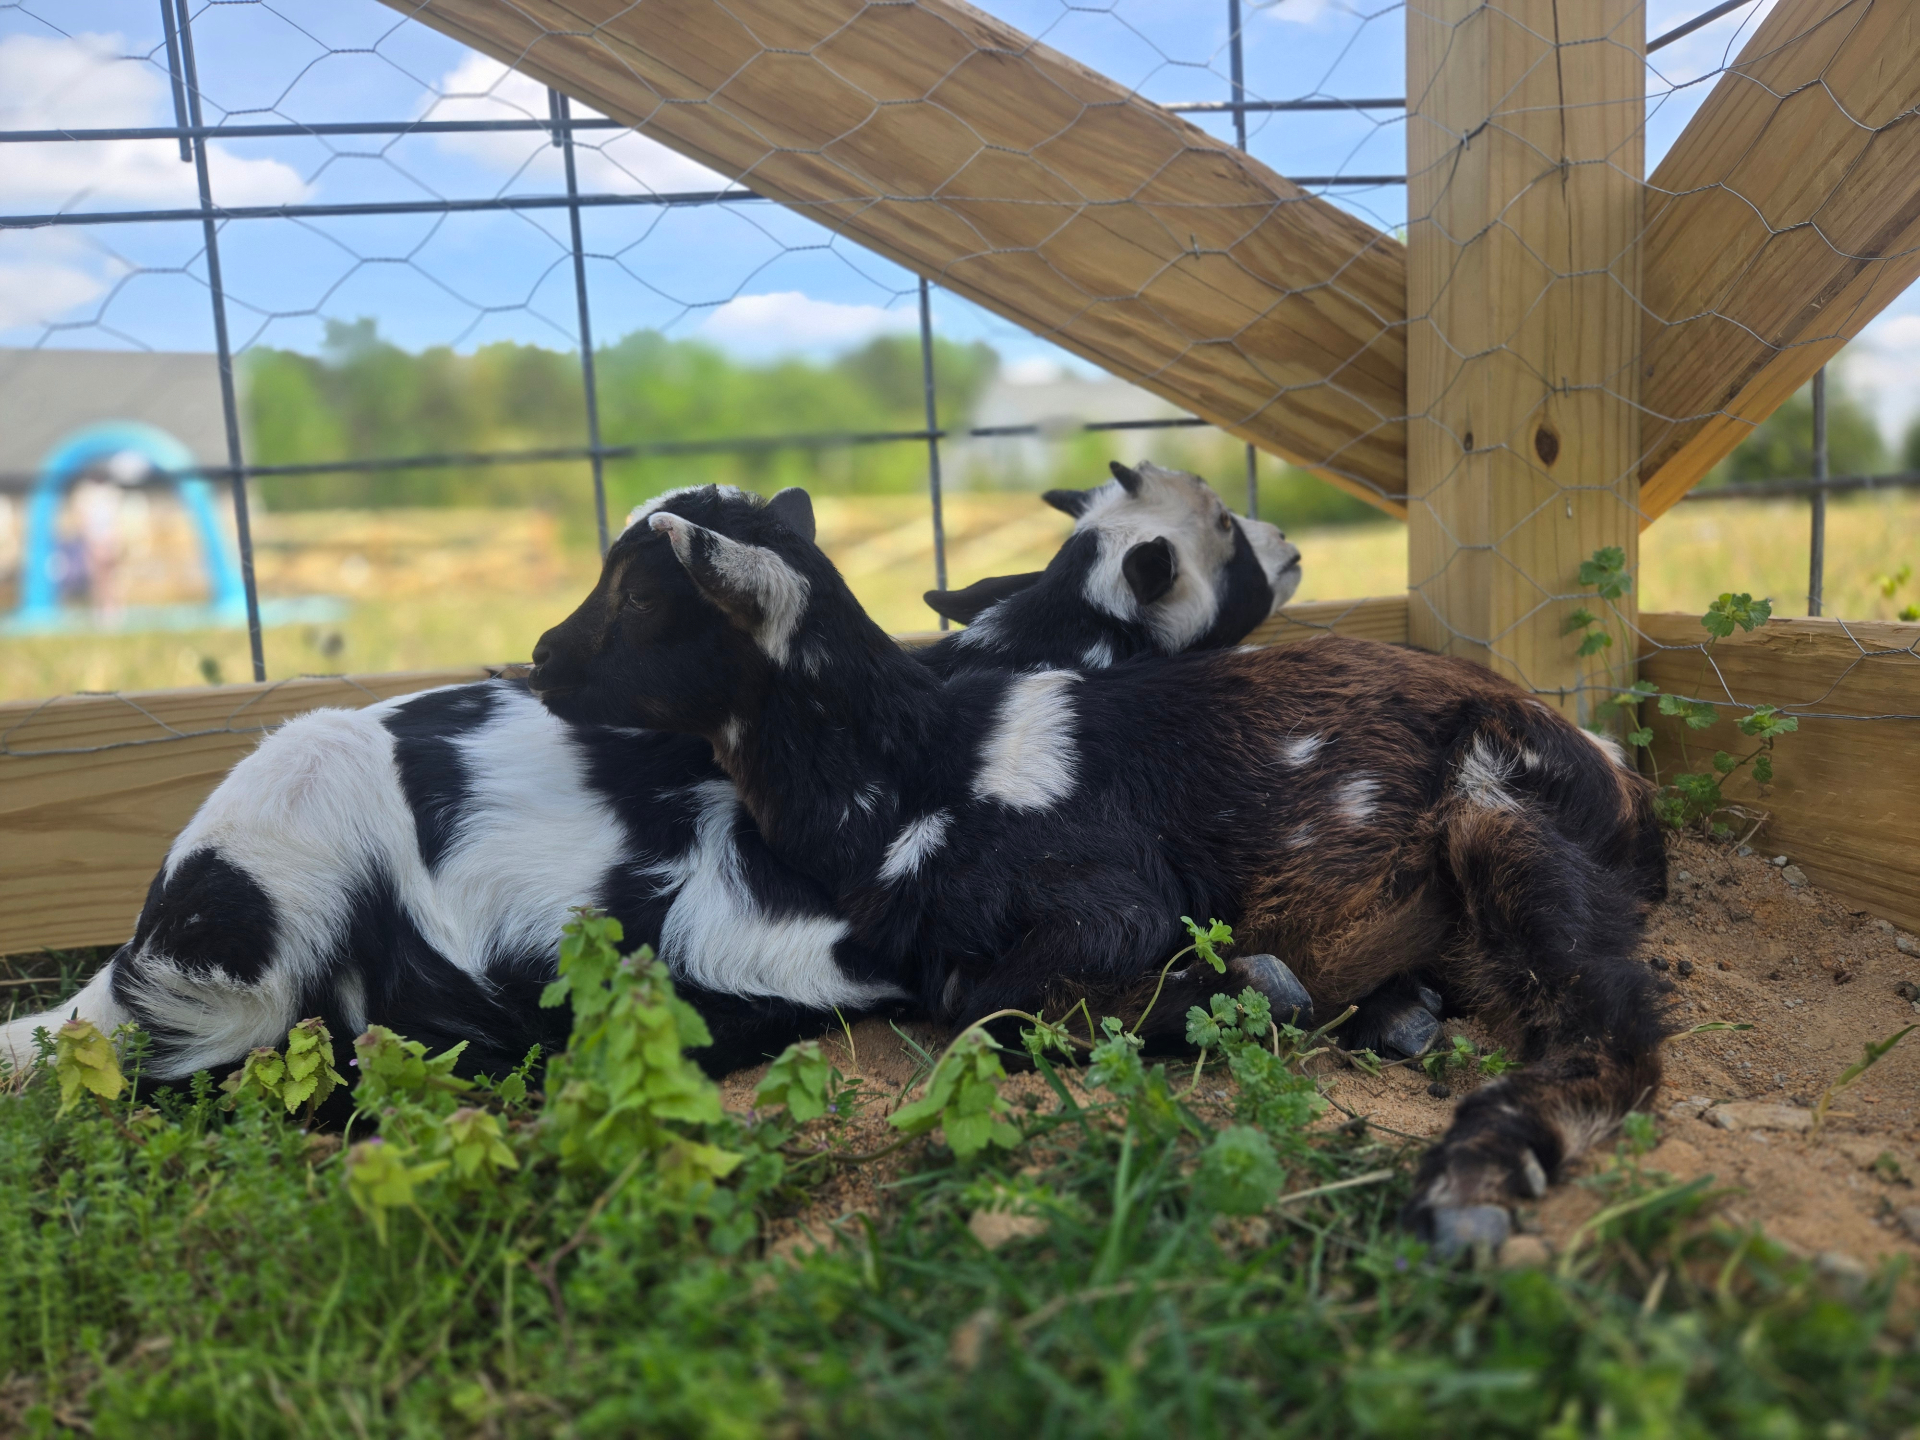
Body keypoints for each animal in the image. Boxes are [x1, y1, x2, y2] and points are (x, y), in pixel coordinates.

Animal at [527, 484, 1669, 1250]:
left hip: (1500, 817)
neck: (915, 771)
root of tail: (1610, 771)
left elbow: (982, 1006)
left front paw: (1249, 986)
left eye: (641, 596)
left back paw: (1469, 1182)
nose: (538, 657)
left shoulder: (1108, 900)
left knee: (1611, 1023)